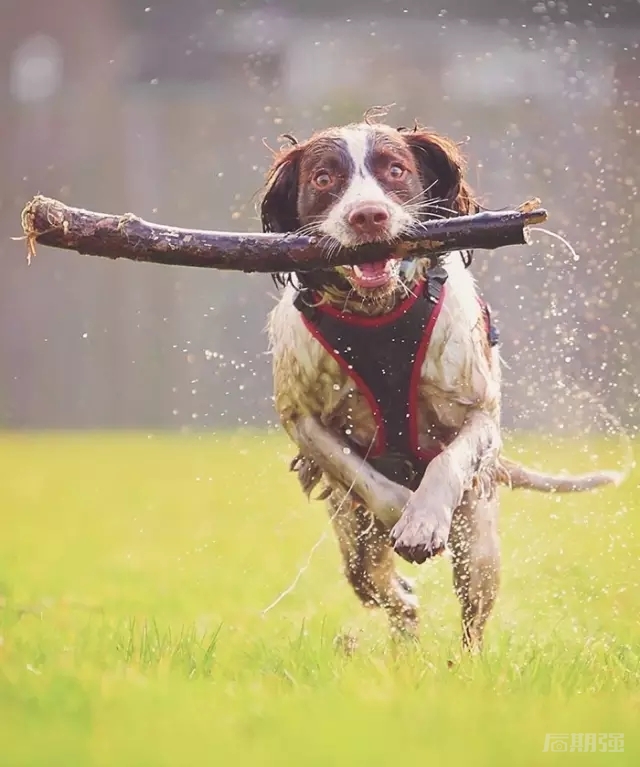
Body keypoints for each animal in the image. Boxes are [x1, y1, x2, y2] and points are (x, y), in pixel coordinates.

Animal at [260, 117, 620, 652]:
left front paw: (425, 518)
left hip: (480, 543)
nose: (368, 216)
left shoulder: (479, 412)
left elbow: (449, 459)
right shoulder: (302, 418)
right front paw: (405, 516)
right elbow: (357, 472)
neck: (378, 316)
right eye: (324, 179)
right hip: (354, 540)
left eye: (395, 169)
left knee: (473, 620)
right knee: (383, 589)